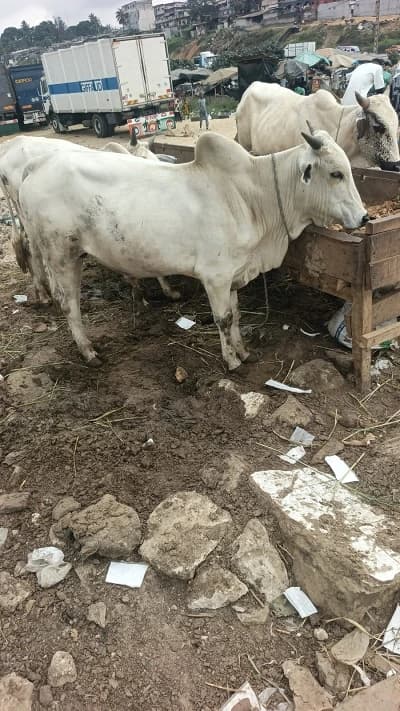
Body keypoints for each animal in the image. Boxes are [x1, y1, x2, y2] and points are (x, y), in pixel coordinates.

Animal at [18, 129, 368, 370]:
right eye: (336, 173)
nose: (364, 217)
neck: (252, 196)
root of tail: (36, 164)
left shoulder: (234, 274)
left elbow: (237, 315)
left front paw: (243, 351)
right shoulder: (215, 276)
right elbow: (223, 319)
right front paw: (232, 361)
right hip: (61, 255)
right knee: (69, 304)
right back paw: (88, 351)